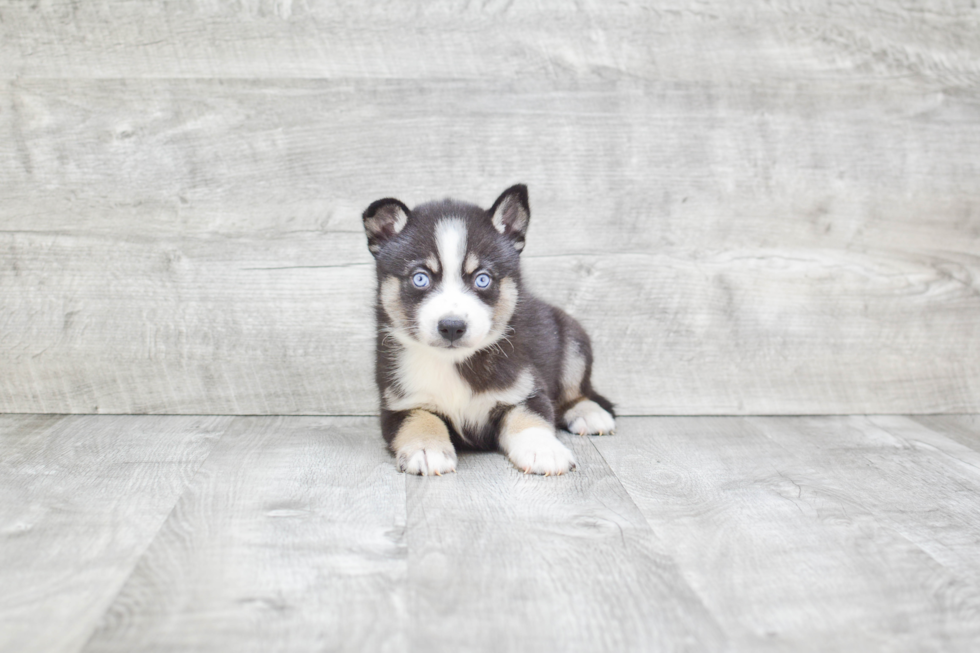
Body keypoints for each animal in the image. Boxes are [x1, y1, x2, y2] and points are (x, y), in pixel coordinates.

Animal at [364, 183, 616, 474]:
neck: (455, 364)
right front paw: (427, 448)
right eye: (420, 278)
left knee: (575, 392)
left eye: (482, 279)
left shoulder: (526, 389)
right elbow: (420, 418)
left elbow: (530, 418)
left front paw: (543, 449)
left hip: (574, 341)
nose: (452, 327)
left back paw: (589, 413)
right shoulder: (399, 404)